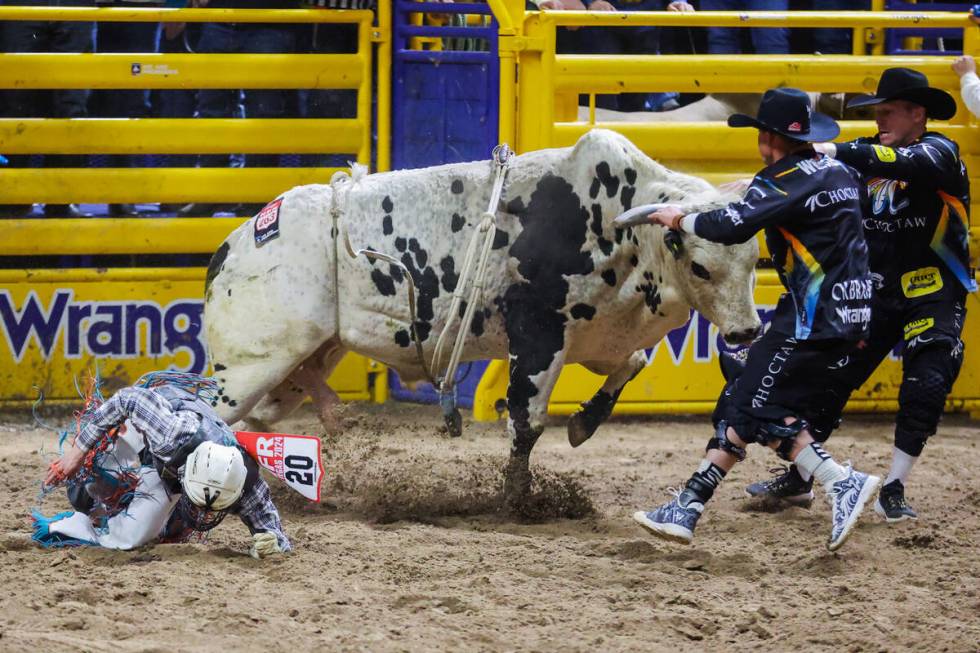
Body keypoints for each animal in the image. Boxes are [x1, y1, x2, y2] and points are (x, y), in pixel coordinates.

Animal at [203, 130, 760, 502]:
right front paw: (517, 499)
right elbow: (526, 422)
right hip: (253, 365)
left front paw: (583, 423)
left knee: (262, 418)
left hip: (298, 367)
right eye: (701, 266)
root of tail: (236, 244)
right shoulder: (537, 335)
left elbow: (633, 364)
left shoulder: (601, 337)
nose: (748, 330)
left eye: (755, 260)